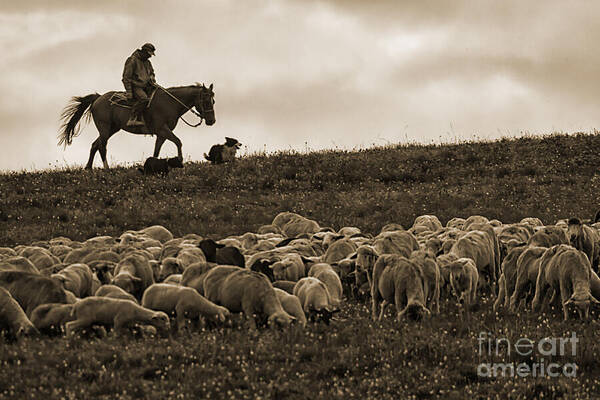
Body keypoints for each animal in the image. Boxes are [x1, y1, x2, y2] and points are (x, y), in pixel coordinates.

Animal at [58, 83, 216, 168]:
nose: (211, 121)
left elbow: (156, 151)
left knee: (95, 145)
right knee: (102, 146)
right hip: (105, 128)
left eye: (213, 101)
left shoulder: (161, 134)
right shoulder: (162, 130)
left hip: (112, 129)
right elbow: (178, 142)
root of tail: (98, 98)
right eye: (206, 101)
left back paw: (89, 168)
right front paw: (180, 161)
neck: (170, 103)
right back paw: (106, 168)